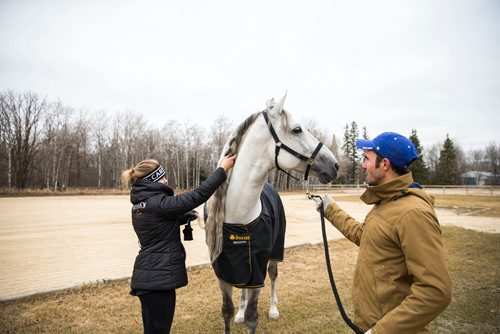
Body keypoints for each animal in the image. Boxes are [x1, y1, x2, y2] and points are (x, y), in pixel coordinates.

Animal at [204, 94, 340, 334]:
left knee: (274, 275)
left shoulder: (258, 266)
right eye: (297, 129)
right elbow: (227, 311)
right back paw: (240, 311)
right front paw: (237, 312)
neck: (239, 215)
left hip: (275, 251)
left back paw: (274, 309)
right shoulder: (223, 271)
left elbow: (253, 316)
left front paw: (255, 313)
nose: (334, 165)